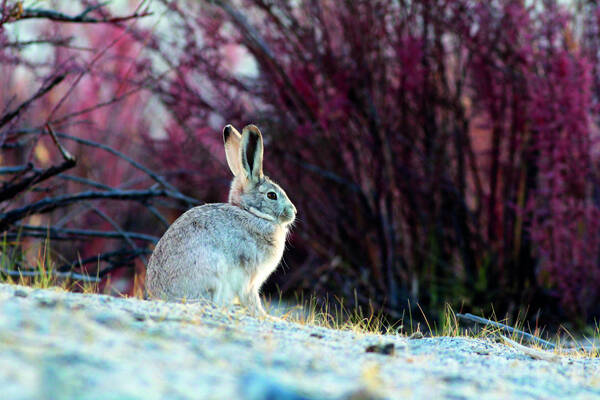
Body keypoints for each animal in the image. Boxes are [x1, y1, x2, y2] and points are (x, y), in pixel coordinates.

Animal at [145, 122, 296, 316]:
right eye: (272, 195)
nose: (293, 212)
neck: (252, 213)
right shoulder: (250, 277)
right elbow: (250, 298)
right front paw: (266, 316)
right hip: (213, 274)